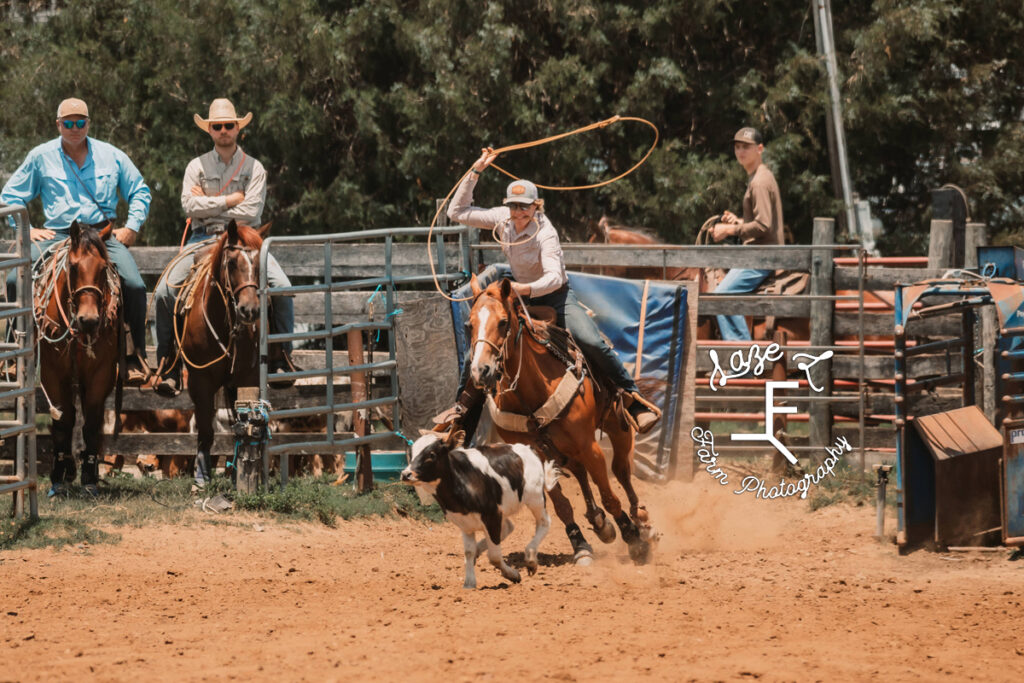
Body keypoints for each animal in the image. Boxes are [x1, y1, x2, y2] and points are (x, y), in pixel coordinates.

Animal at [180, 220, 268, 485]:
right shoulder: (199, 380)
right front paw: (201, 476)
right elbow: (206, 429)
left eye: (260, 266)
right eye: (231, 263)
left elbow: (243, 421)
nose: (249, 310)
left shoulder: (247, 378)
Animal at [401, 432, 561, 589]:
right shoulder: (465, 523)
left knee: (544, 522)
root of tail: (526, 447)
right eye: (410, 453)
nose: (406, 474)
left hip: (535, 496)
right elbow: (469, 551)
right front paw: (469, 582)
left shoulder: (492, 515)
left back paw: (531, 558)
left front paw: (513, 575)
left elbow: (494, 556)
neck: (462, 481)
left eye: (432, 454)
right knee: (508, 527)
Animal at [466, 274, 651, 565]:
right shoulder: (537, 453)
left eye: (503, 322)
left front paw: (633, 538)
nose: (480, 371)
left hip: (616, 426)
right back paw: (599, 522)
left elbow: (609, 495)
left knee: (621, 471)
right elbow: (562, 505)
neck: (531, 392)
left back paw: (640, 521)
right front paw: (581, 546)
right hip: (564, 449)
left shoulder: (589, 445)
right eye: (469, 325)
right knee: (581, 472)